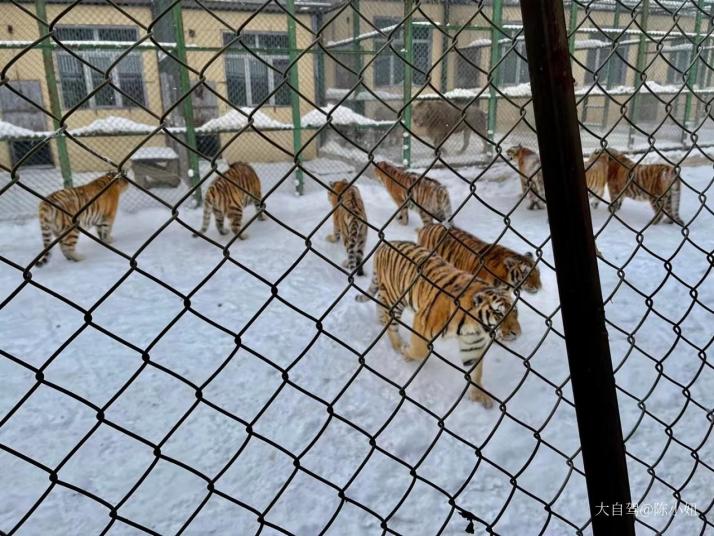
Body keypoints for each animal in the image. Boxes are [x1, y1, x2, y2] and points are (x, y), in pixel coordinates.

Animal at [354, 239, 516, 406]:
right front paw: (406, 353)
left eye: (514, 312)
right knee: (390, 319)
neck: (475, 326)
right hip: (395, 295)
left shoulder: (473, 343)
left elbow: (476, 371)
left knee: (380, 304)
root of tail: (385, 245)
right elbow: (420, 350)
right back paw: (398, 345)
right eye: (499, 314)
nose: (516, 333)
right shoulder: (422, 322)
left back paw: (381, 322)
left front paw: (478, 395)